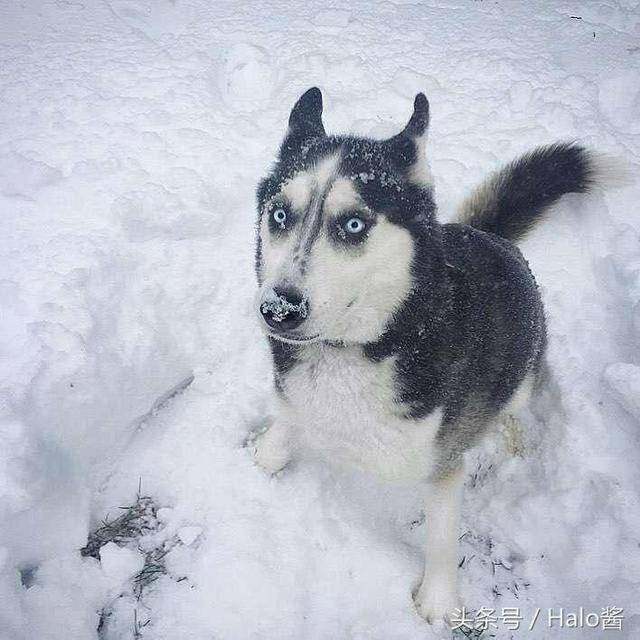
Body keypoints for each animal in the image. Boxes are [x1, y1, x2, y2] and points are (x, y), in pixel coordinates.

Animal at [254, 87, 600, 624]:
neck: (353, 351)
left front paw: (439, 600)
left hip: (524, 370)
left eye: (354, 223)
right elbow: (287, 421)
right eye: (279, 215)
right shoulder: (297, 392)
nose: (279, 310)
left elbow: (441, 537)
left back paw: (511, 437)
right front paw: (270, 448)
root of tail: (490, 235)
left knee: (518, 404)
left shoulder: (444, 462)